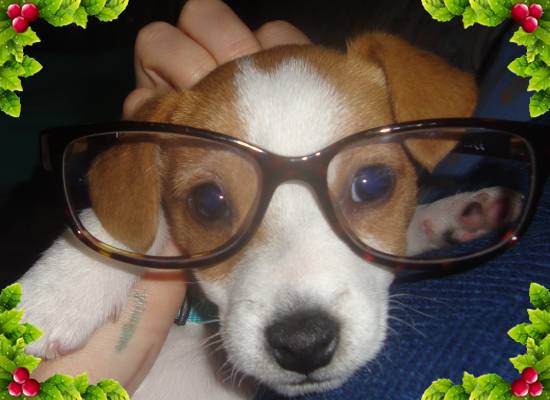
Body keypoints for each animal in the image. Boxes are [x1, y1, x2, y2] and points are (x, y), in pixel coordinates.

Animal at [18, 33, 482, 399]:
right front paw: (61, 287)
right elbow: (132, 223)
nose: (303, 343)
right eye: (208, 202)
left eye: (373, 184)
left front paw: (450, 214)